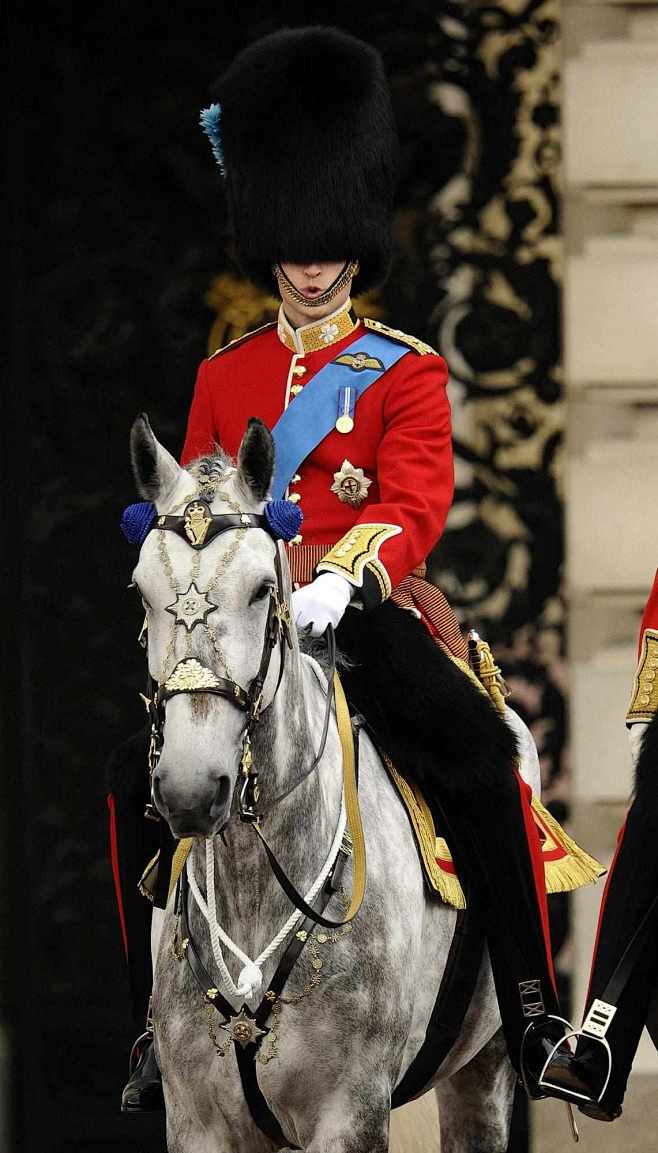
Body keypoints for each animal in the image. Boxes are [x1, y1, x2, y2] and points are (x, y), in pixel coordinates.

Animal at [130, 421, 530, 1153]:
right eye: (142, 591)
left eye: (264, 589)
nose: (192, 787)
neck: (254, 883)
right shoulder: (198, 1120)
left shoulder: (349, 1112)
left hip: (484, 1068)